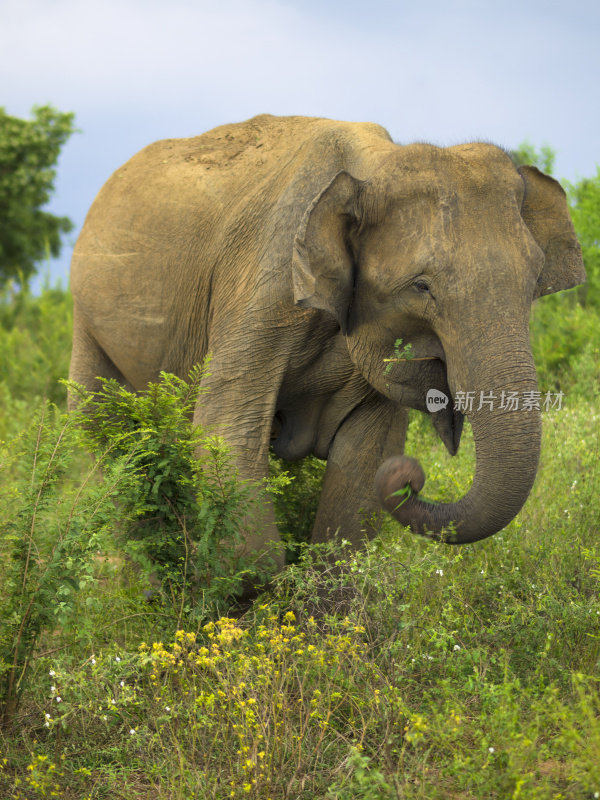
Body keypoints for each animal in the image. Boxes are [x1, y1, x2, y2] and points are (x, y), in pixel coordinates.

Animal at [67, 115, 584, 572]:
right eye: (422, 287)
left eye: (535, 281)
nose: (412, 478)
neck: (373, 165)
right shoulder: (264, 281)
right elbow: (223, 429)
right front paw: (253, 594)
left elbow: (364, 460)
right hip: (87, 321)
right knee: (106, 437)